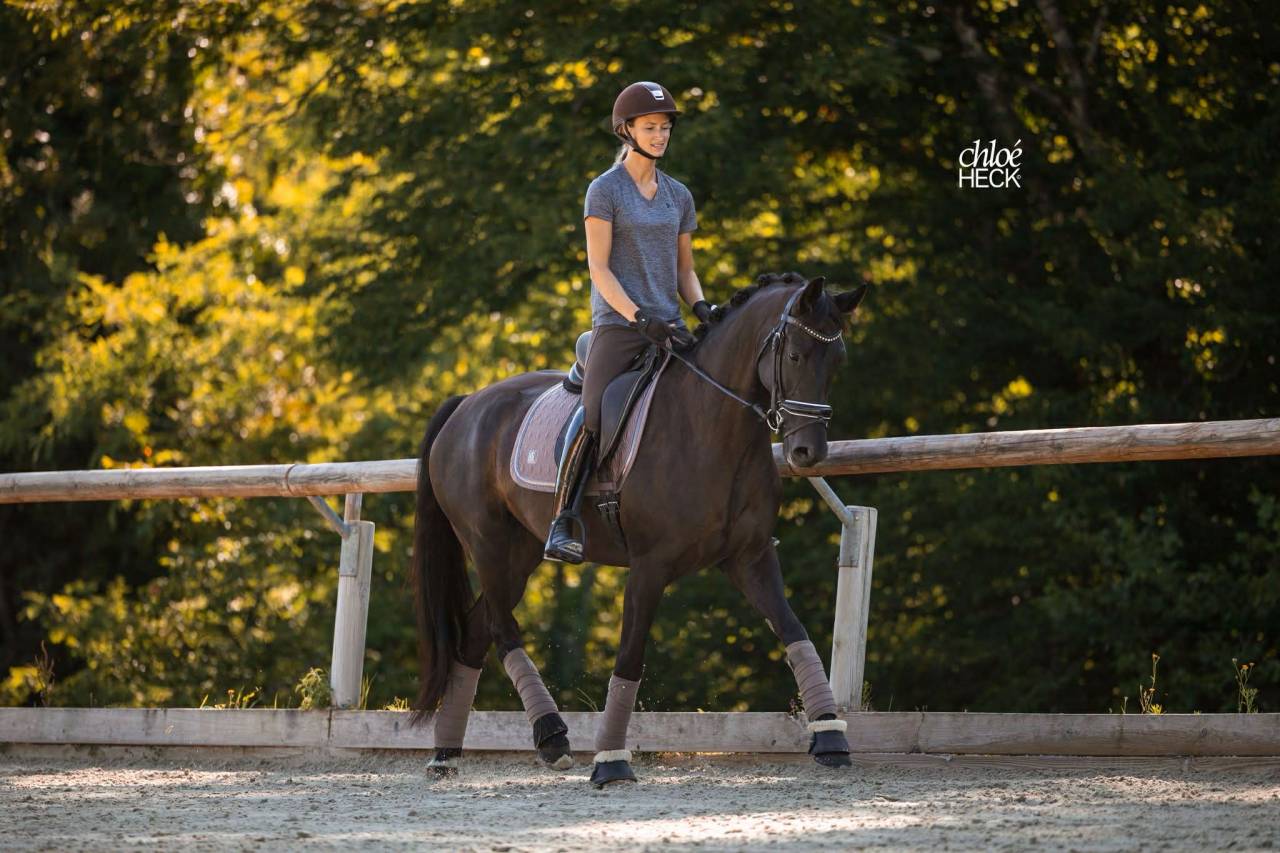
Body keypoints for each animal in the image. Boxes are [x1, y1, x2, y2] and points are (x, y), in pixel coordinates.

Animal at [409, 271, 867, 786]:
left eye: (837, 360)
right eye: (794, 356)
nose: (809, 452)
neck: (710, 426)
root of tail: (466, 404)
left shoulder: (750, 558)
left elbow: (794, 631)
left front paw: (830, 737)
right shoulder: (650, 566)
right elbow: (630, 655)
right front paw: (611, 760)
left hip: (519, 555)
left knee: (475, 633)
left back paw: (446, 753)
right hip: (488, 544)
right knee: (502, 629)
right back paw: (551, 737)